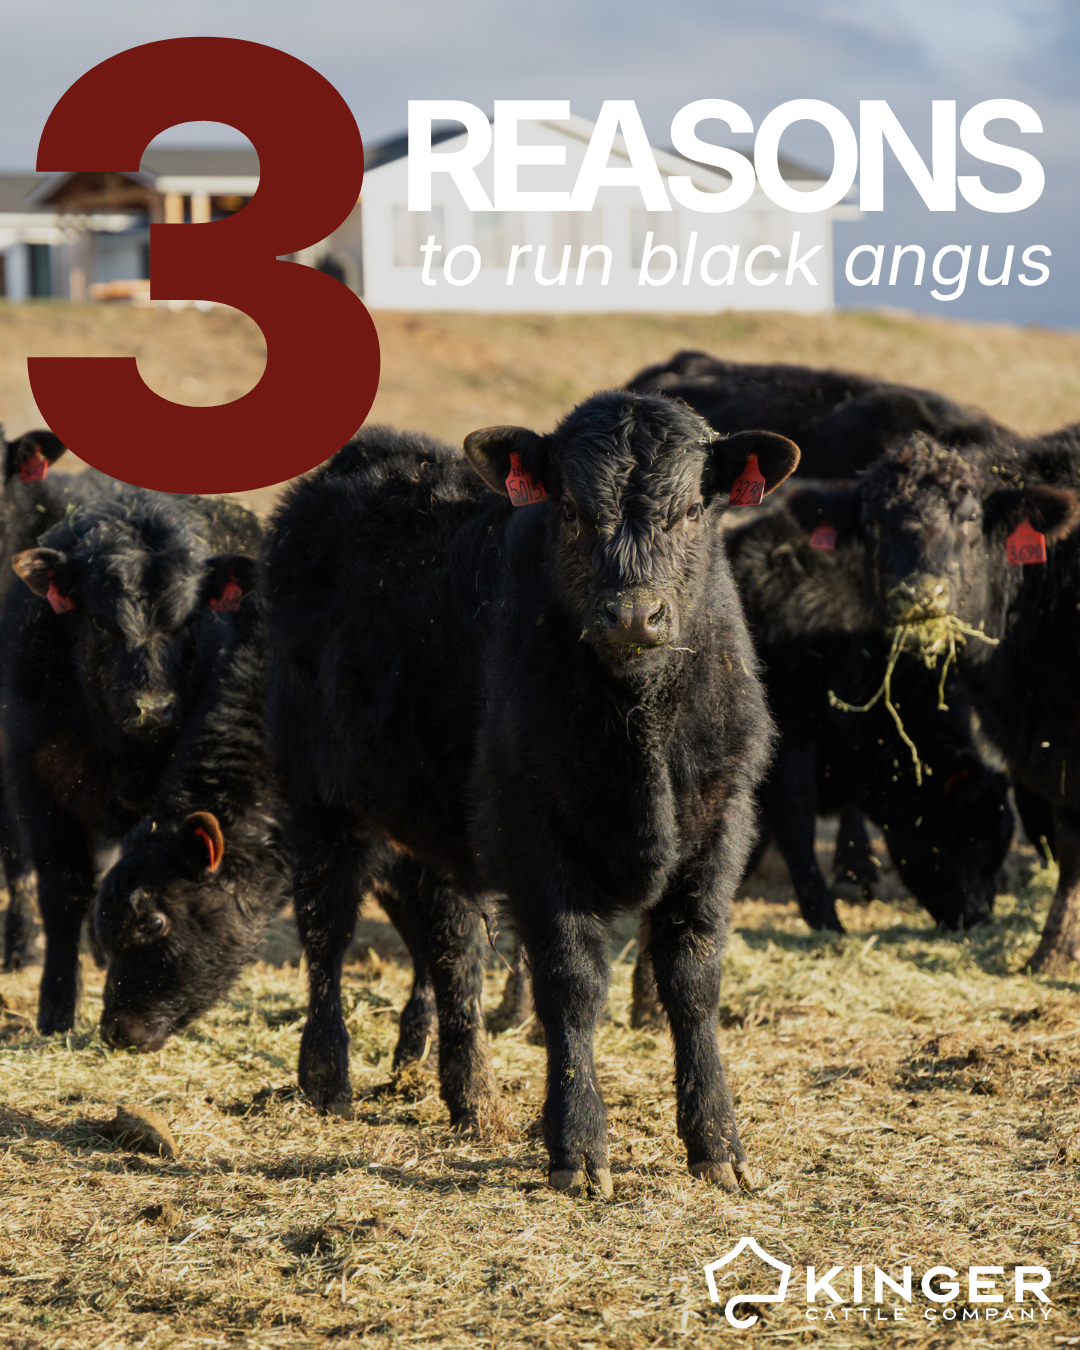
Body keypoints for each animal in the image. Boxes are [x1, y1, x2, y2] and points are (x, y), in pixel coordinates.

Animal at [0, 491, 262, 1032]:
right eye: (101, 622)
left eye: (189, 622)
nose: (153, 708)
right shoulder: (37, 787)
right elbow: (63, 891)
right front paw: (56, 1007)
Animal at [264, 396, 800, 1196]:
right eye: (571, 509)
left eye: (687, 512)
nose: (632, 615)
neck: (639, 728)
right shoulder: (531, 828)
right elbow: (569, 983)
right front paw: (577, 1147)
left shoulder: (721, 819)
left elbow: (692, 976)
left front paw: (717, 1143)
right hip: (315, 794)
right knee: (325, 927)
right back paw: (327, 1078)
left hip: (439, 821)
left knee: (451, 948)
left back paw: (473, 1098)